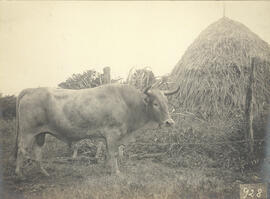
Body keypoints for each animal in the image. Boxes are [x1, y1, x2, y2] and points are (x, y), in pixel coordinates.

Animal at [14, 83, 179, 176]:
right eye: (155, 103)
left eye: (166, 101)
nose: (169, 122)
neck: (127, 103)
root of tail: (30, 90)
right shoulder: (113, 134)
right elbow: (113, 154)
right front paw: (116, 172)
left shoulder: (109, 137)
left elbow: (108, 154)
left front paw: (108, 169)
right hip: (28, 133)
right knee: (22, 150)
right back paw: (20, 174)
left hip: (40, 134)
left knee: (37, 151)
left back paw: (44, 173)